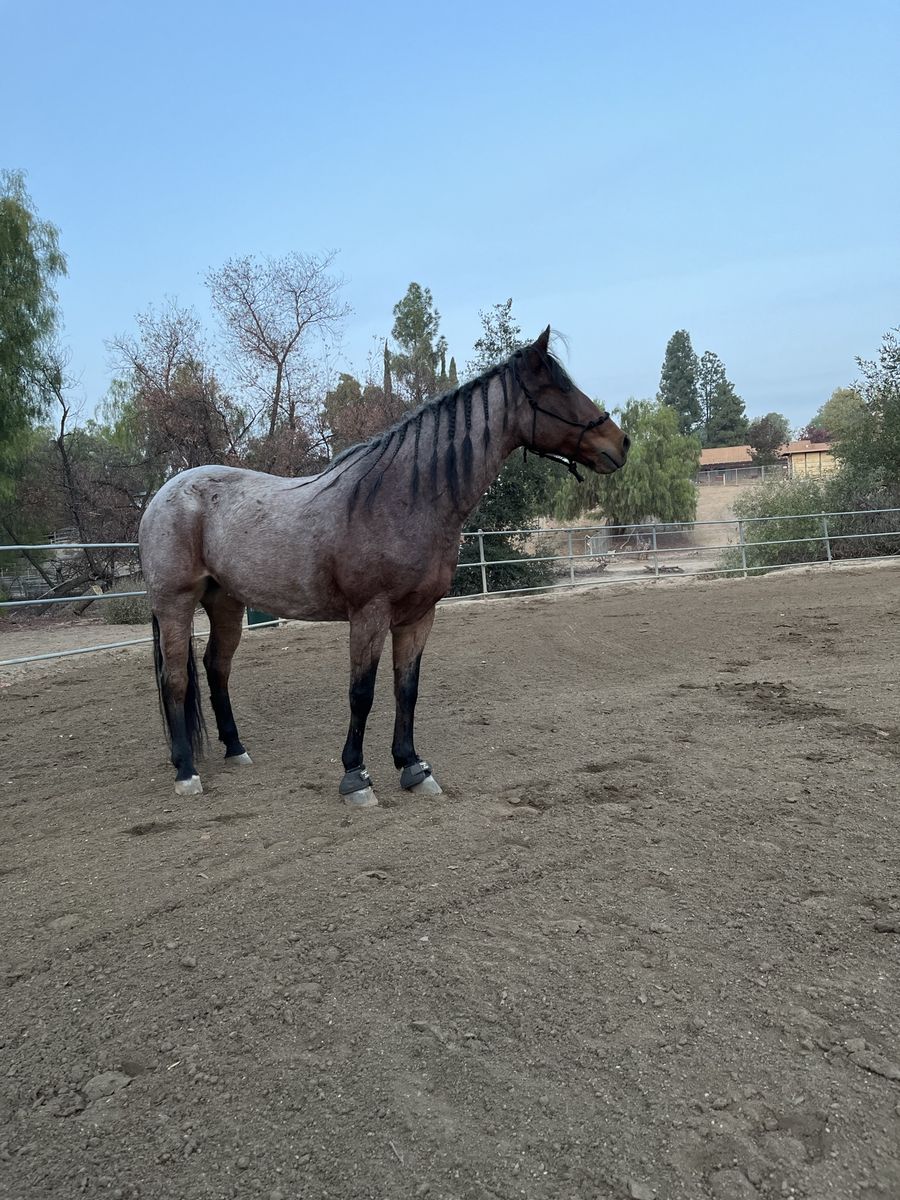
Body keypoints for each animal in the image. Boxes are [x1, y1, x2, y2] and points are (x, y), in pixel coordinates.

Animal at [138, 328, 629, 806]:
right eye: (558, 388)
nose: (620, 443)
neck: (402, 499)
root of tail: (163, 495)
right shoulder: (369, 614)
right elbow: (362, 694)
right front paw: (356, 777)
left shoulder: (418, 616)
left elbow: (406, 689)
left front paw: (412, 767)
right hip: (176, 603)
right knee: (174, 678)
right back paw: (186, 770)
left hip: (225, 602)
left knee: (215, 667)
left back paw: (236, 749)